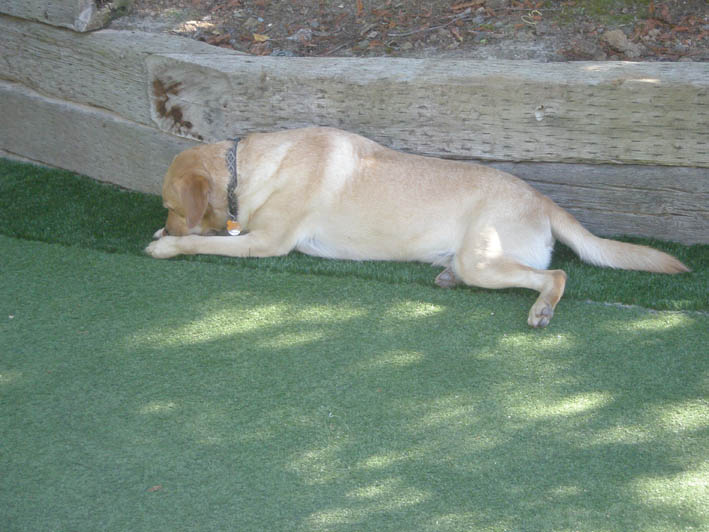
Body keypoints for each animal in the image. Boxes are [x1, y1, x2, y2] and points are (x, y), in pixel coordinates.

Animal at [147, 127, 688, 326]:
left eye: (168, 203)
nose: (166, 222)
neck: (248, 168)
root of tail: (543, 199)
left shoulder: (265, 244)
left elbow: (204, 243)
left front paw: (168, 244)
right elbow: (211, 233)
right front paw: (166, 235)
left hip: (482, 258)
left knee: (555, 275)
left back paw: (542, 308)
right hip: (478, 260)